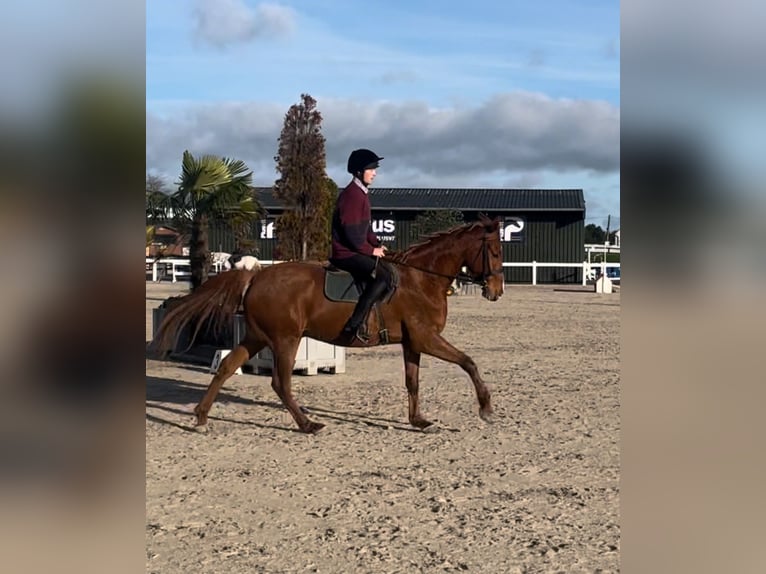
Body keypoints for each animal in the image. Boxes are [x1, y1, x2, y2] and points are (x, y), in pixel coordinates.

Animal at [151, 214, 505, 434]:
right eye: (495, 251)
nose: (496, 291)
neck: (422, 279)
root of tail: (256, 276)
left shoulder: (412, 342)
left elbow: (412, 382)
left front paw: (418, 420)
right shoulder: (426, 338)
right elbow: (468, 362)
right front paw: (486, 408)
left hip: (257, 336)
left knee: (226, 367)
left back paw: (200, 417)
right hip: (286, 339)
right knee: (280, 382)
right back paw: (308, 425)